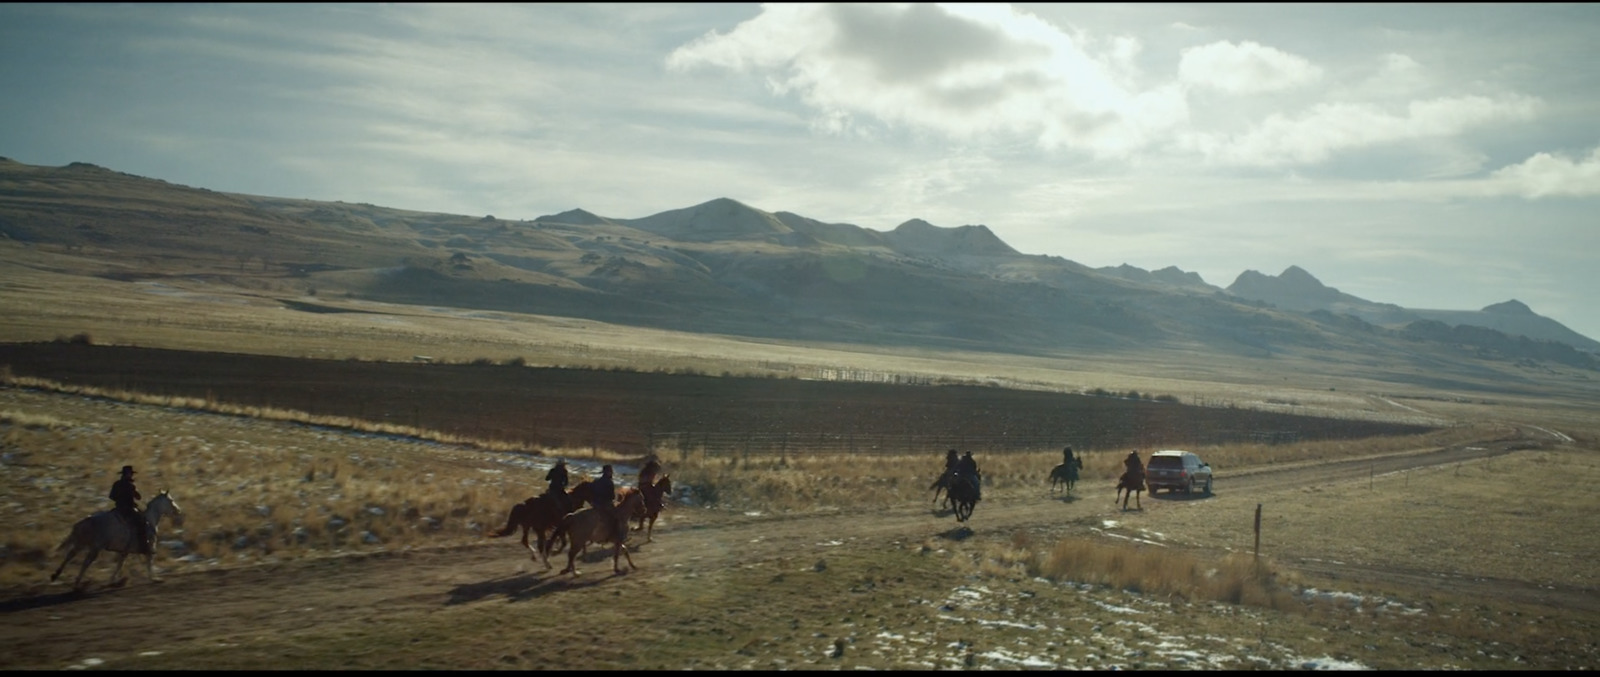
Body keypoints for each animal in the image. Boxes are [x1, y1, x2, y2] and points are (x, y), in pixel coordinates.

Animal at [52, 489, 184, 592]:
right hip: (94, 548)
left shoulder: (124, 552)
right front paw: (155, 579)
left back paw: (56, 575)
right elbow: (149, 563)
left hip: (81, 544)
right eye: (171, 500)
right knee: (85, 563)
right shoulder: (149, 548)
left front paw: (112, 581)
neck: (149, 521)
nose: (178, 510)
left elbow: (119, 566)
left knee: (69, 556)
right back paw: (76, 584)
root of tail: (85, 521)